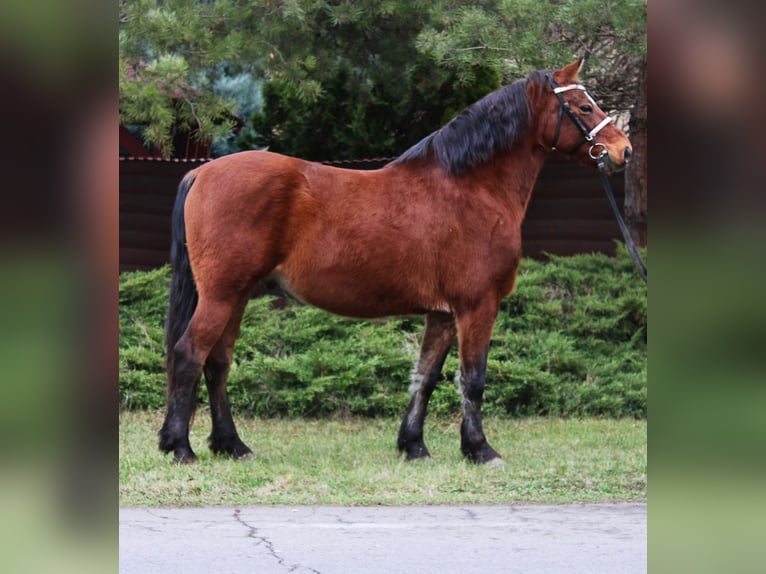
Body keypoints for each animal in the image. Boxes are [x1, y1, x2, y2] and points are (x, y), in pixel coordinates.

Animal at [159, 59, 632, 465]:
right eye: (583, 106)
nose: (623, 150)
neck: (470, 187)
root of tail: (201, 172)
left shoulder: (443, 313)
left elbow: (425, 377)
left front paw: (414, 445)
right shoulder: (478, 306)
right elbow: (473, 378)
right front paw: (479, 449)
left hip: (235, 296)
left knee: (217, 362)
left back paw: (231, 444)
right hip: (221, 295)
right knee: (190, 354)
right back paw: (181, 447)